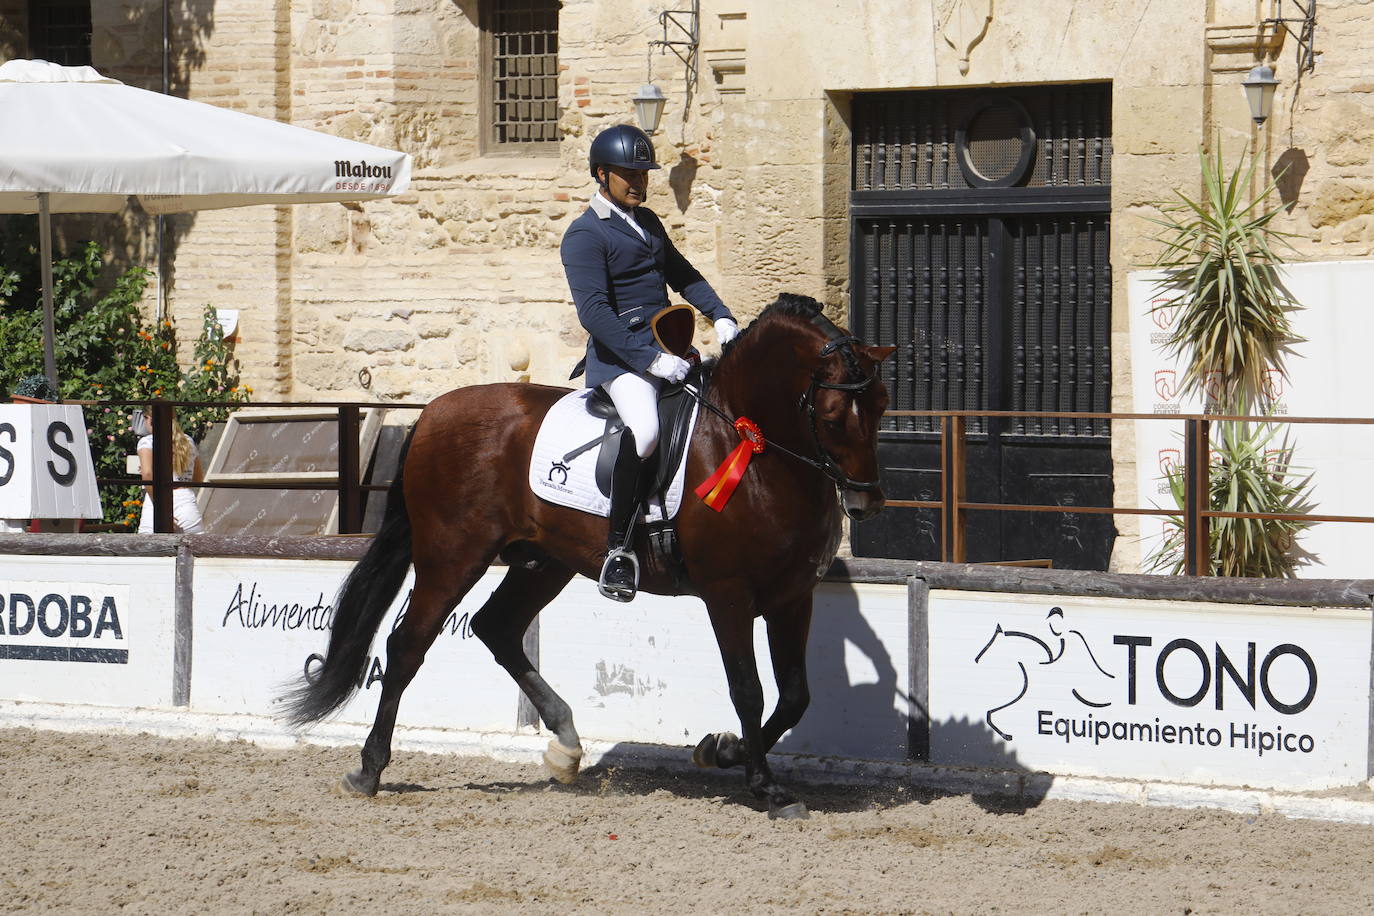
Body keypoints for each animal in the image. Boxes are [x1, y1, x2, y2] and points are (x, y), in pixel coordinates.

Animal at [284, 292, 895, 818]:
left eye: (884, 406)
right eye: (833, 415)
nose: (865, 502)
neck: (754, 446)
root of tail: (433, 411)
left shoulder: (792, 596)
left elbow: (794, 697)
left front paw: (719, 750)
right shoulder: (728, 595)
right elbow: (748, 690)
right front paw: (766, 787)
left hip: (543, 561)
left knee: (496, 627)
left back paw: (566, 745)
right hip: (452, 556)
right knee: (408, 644)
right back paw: (369, 769)